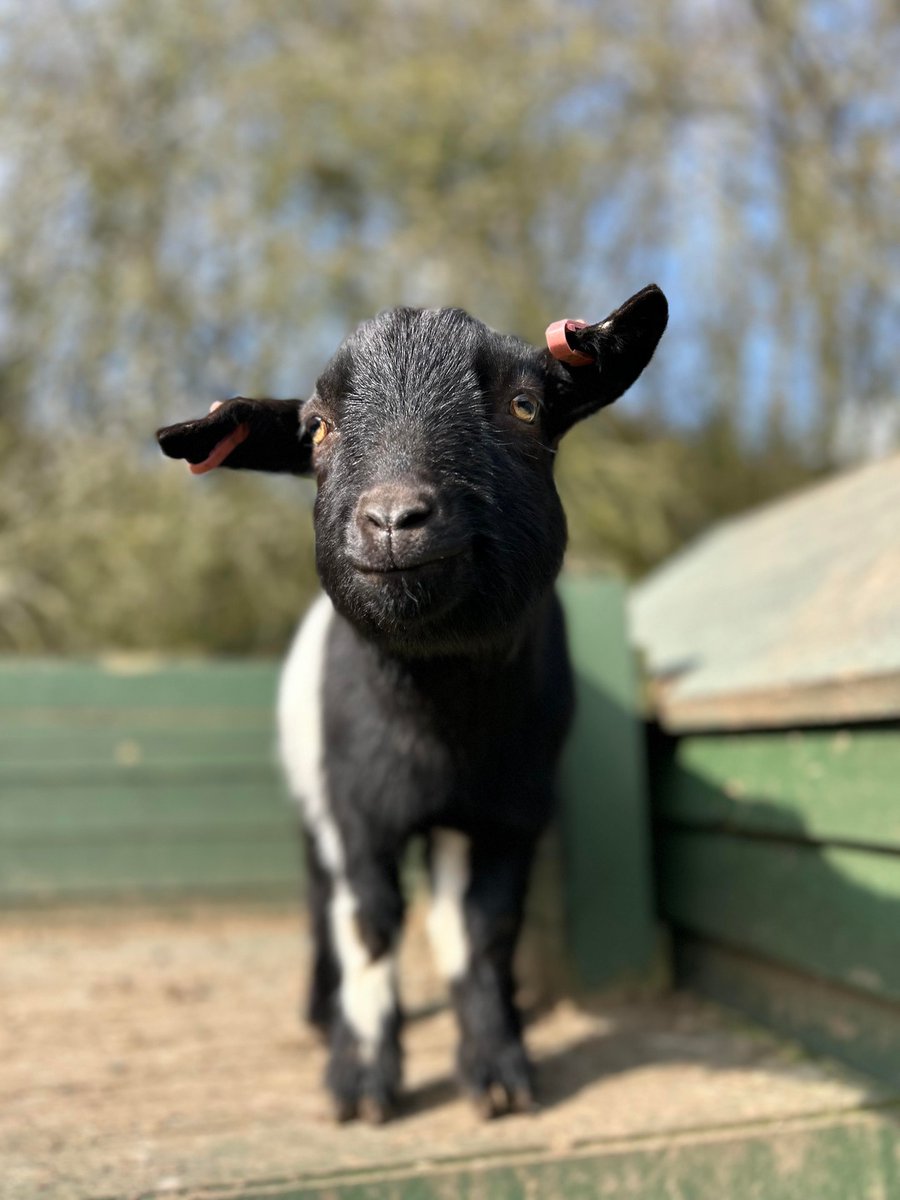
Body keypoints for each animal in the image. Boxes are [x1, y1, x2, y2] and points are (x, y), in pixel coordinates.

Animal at [154, 288, 667, 1123]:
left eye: (526, 405)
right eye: (316, 428)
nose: (394, 519)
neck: (439, 725)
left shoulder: (507, 810)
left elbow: (479, 928)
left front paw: (499, 1073)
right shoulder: (353, 808)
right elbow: (369, 922)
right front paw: (361, 1083)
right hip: (312, 805)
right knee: (319, 900)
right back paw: (318, 1010)